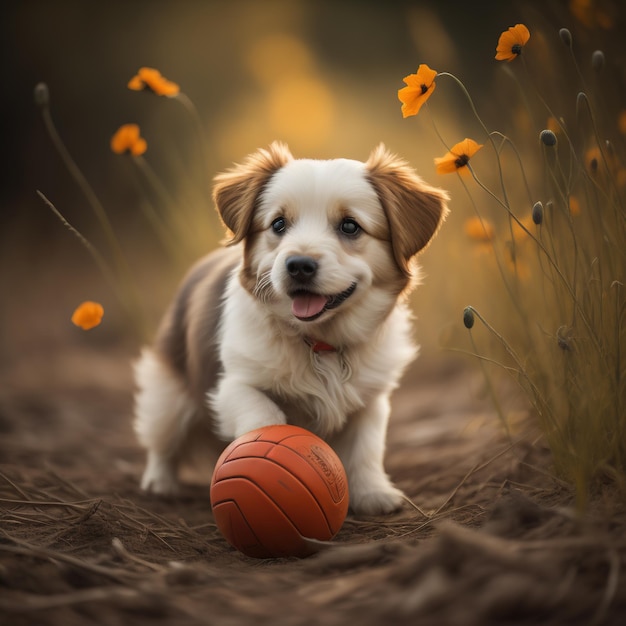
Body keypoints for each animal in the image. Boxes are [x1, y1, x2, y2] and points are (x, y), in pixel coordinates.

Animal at [134, 141, 448, 512]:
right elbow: (265, 416)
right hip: (168, 396)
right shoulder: (233, 385)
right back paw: (160, 482)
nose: (299, 265)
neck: (320, 343)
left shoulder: (371, 399)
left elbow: (366, 447)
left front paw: (373, 493)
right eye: (279, 224)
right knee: (162, 441)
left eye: (350, 226)